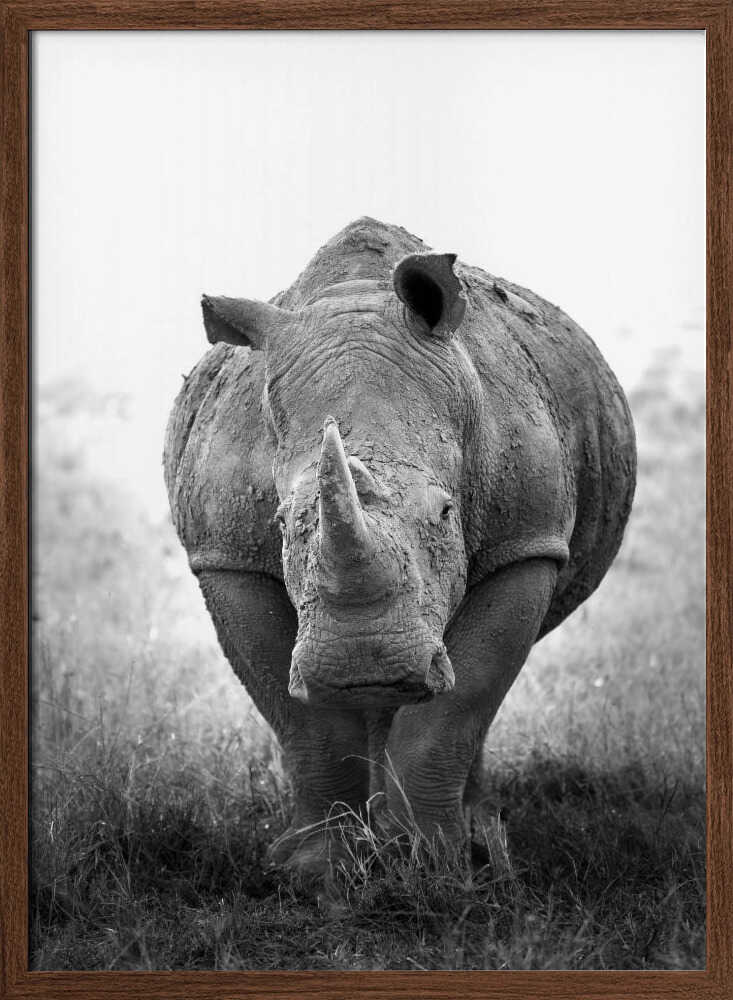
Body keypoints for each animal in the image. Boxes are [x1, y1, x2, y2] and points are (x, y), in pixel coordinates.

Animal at [164, 217, 636, 876]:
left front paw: (439, 863)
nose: (365, 665)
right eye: (281, 524)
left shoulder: (527, 541)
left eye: (445, 513)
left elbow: (459, 705)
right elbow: (302, 719)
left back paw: (474, 836)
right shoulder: (225, 556)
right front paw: (315, 868)